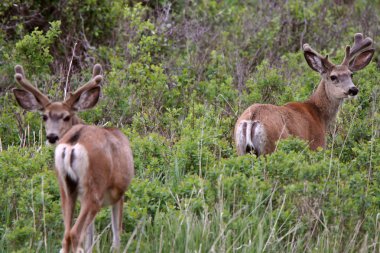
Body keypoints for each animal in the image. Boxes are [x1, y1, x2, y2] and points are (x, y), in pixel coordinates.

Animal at [12, 63, 134, 253]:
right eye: (44, 116)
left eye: (66, 116)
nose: (52, 136)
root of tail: (73, 142)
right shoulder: (119, 192)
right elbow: (116, 235)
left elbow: (91, 237)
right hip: (94, 188)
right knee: (74, 234)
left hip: (65, 188)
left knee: (66, 235)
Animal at [235, 33, 374, 156]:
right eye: (333, 77)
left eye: (351, 74)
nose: (353, 89)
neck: (319, 115)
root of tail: (252, 120)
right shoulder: (316, 144)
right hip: (272, 146)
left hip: (241, 150)